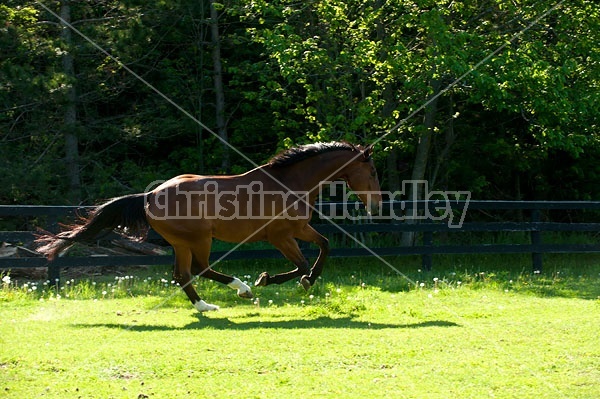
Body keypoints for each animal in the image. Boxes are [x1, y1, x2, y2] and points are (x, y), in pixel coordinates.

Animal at [37, 142, 382, 314]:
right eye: (373, 171)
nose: (377, 205)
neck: (290, 182)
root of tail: (150, 195)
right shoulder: (281, 235)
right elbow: (302, 264)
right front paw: (271, 280)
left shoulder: (298, 230)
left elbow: (324, 246)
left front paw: (301, 280)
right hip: (200, 238)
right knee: (199, 269)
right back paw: (240, 289)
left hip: (181, 243)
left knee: (182, 274)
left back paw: (205, 305)